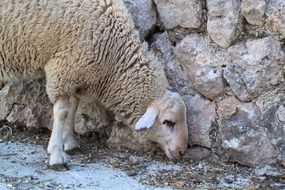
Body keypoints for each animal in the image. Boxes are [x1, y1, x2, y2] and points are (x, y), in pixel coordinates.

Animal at [0, 0, 189, 171]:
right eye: (168, 122)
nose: (181, 152)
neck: (114, 56)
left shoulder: (76, 75)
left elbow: (73, 108)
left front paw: (70, 143)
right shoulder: (61, 70)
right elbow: (62, 113)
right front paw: (57, 155)